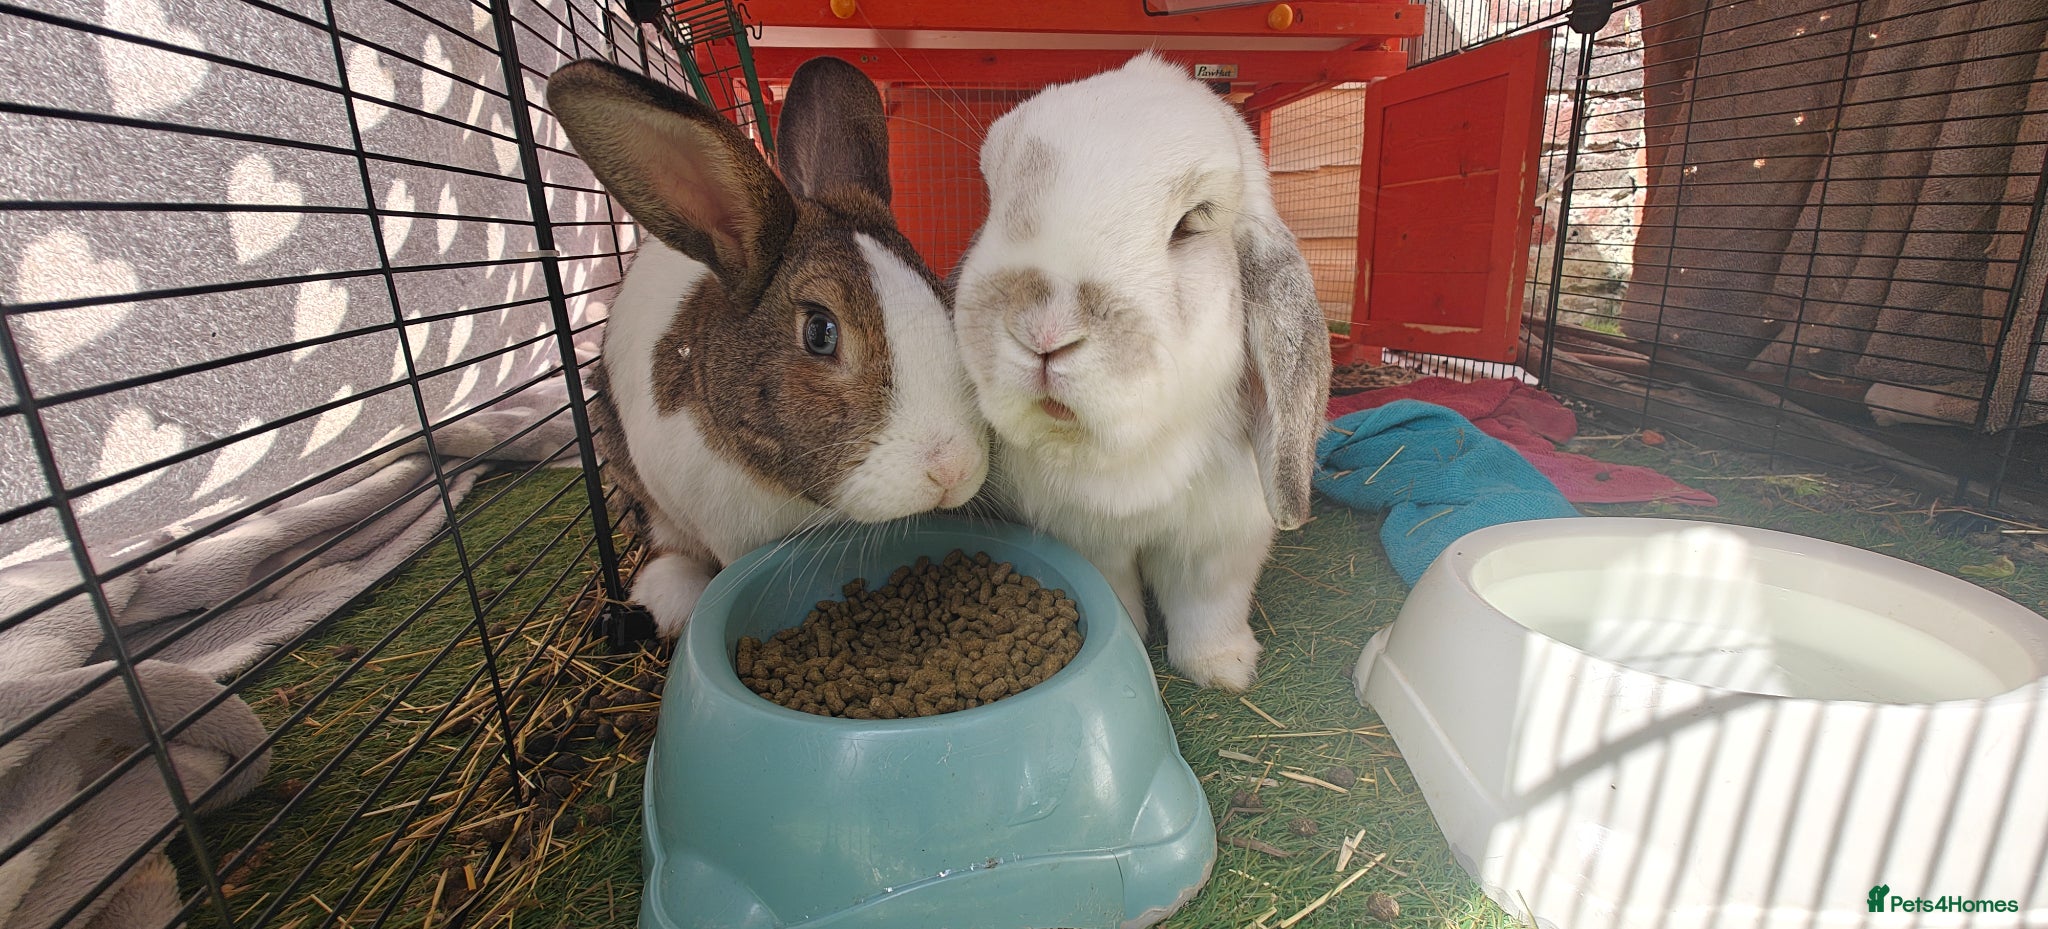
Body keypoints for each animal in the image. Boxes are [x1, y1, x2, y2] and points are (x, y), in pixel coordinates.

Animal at [951, 53, 1333, 692]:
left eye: (1191, 222)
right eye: (992, 200)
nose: (1044, 334)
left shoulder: (1221, 545)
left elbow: (1208, 606)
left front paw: (1224, 670)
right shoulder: (1090, 538)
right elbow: (1118, 592)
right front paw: (1130, 642)